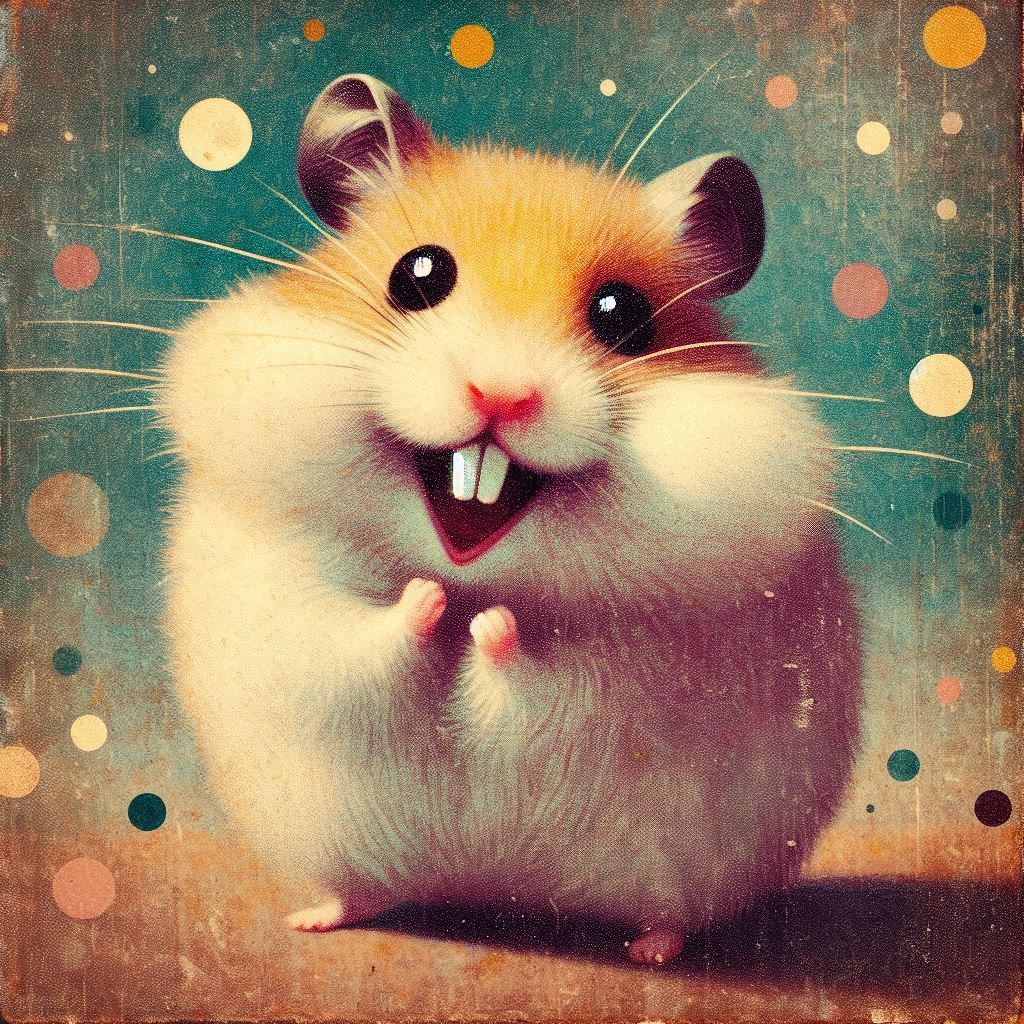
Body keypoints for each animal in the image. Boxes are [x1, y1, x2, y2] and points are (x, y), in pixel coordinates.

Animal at [160, 74, 861, 966]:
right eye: (417, 275)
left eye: (622, 315)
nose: (500, 395)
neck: (473, 563)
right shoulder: (280, 603)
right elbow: (357, 640)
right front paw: (429, 604)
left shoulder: (645, 674)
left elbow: (545, 678)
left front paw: (487, 626)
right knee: (357, 887)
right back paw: (316, 916)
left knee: (673, 912)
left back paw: (652, 948)